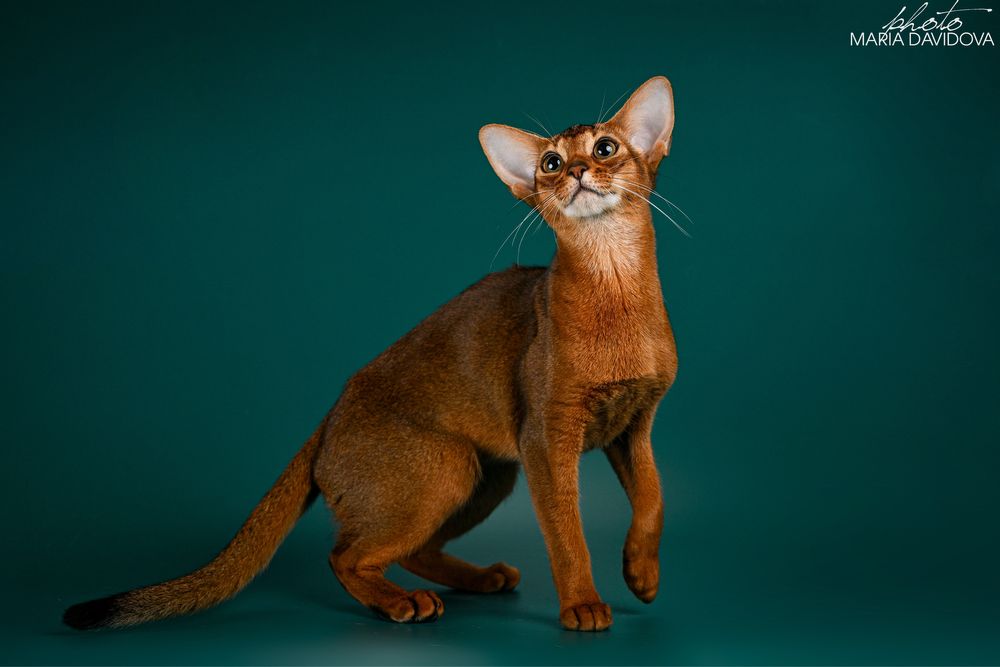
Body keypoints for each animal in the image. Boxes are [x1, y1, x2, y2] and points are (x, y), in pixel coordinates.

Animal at [63, 76, 679, 633]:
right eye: (550, 162)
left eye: (605, 149)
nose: (576, 172)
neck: (613, 284)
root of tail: (329, 418)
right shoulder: (547, 440)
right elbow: (568, 534)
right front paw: (583, 605)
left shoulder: (636, 425)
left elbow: (654, 498)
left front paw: (642, 574)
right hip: (450, 466)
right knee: (345, 555)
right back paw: (400, 603)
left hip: (487, 475)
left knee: (410, 550)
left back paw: (480, 579)